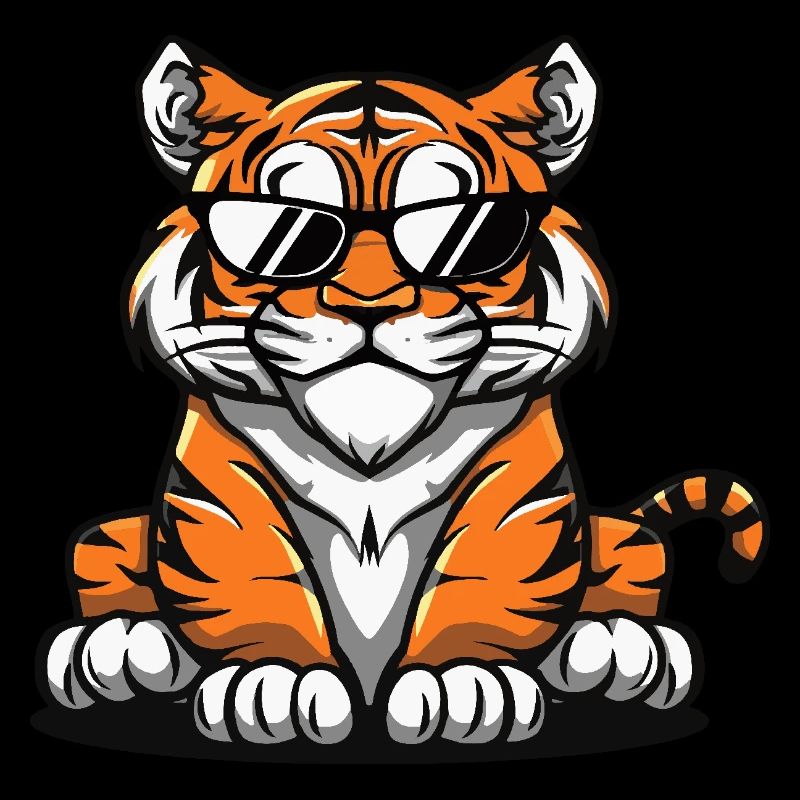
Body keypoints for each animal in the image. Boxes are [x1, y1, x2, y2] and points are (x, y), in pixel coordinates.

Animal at [39, 37, 767, 747]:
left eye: (462, 228)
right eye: (288, 228)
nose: (369, 303)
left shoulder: (517, 483)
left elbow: (480, 573)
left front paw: (463, 678)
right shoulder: (221, 485)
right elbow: (257, 573)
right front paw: (275, 675)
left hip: (614, 538)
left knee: (635, 553)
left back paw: (619, 643)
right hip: (115, 536)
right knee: (100, 552)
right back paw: (121, 642)